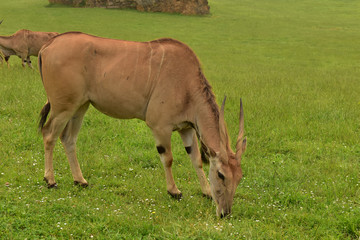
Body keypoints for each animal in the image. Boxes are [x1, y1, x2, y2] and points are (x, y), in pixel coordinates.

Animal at [38, 31, 248, 218]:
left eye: (239, 177)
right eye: (221, 175)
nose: (225, 213)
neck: (187, 84)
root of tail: (48, 45)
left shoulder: (186, 128)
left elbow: (196, 159)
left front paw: (206, 192)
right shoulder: (160, 126)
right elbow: (168, 158)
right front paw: (174, 191)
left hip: (80, 106)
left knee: (68, 138)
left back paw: (80, 180)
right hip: (63, 107)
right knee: (49, 134)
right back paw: (50, 180)